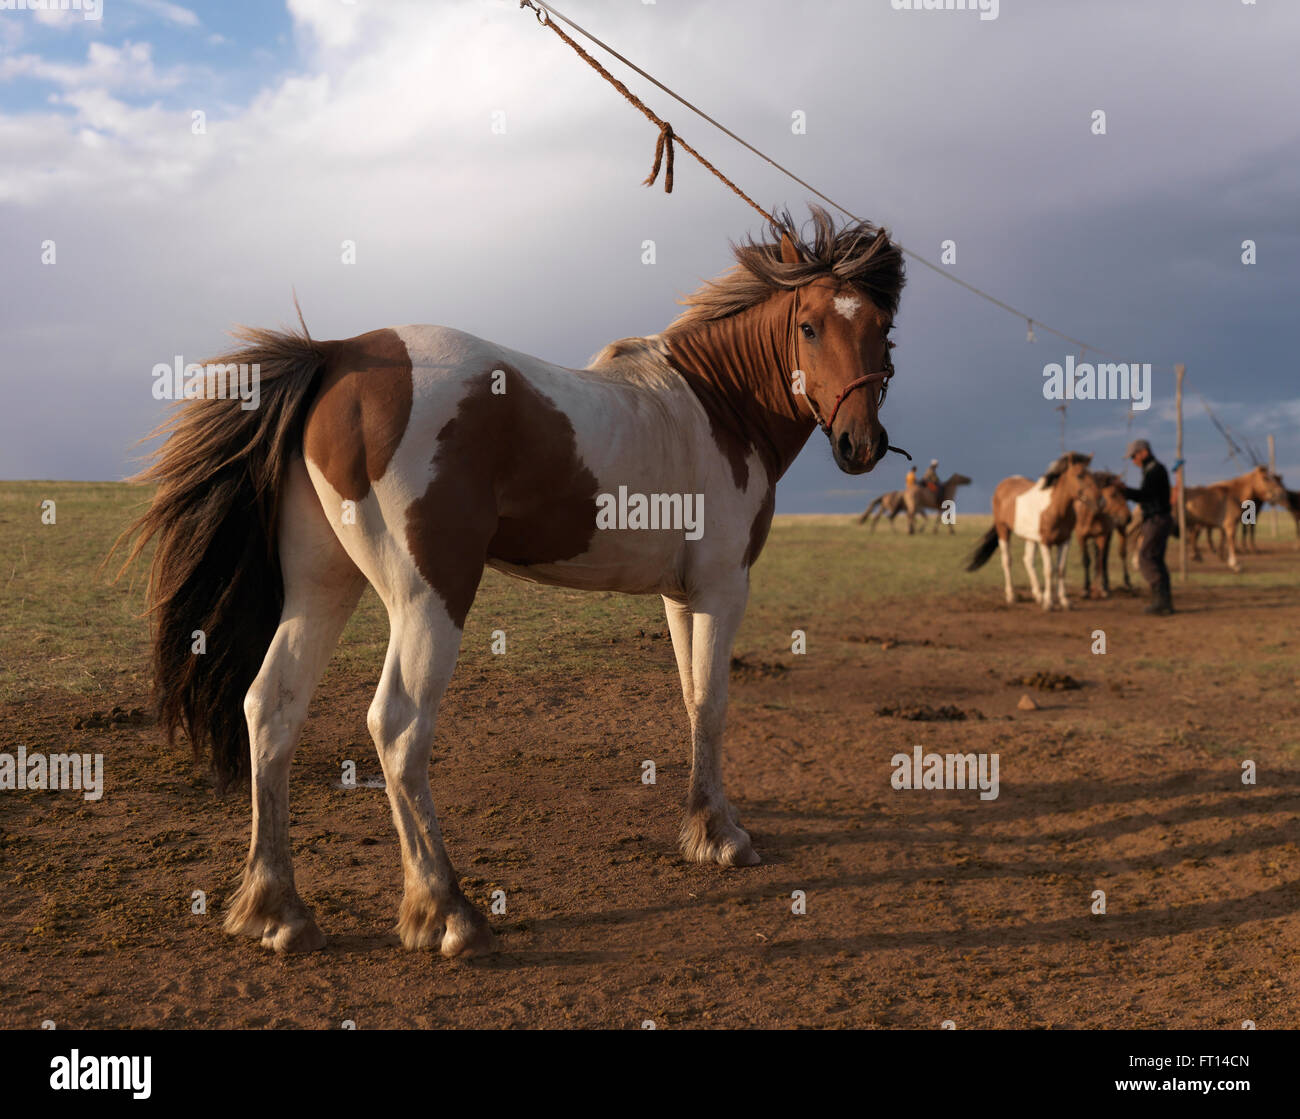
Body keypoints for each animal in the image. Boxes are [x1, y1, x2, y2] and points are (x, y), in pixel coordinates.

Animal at [116, 207, 909, 951]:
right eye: (809, 326)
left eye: (883, 329)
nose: (861, 445)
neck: (711, 408)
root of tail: (339, 356)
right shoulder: (722, 587)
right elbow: (713, 703)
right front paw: (722, 836)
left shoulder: (681, 596)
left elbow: (692, 701)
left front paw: (700, 824)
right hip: (429, 597)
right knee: (398, 727)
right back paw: (446, 909)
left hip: (323, 587)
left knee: (271, 708)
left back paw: (277, 907)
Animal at [967, 452, 1097, 610]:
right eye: (1079, 475)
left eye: (1092, 475)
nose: (1100, 500)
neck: (1055, 508)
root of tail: (1004, 484)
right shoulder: (1045, 542)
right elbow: (1049, 570)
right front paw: (1049, 603)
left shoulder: (1065, 541)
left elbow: (1061, 569)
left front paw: (1065, 601)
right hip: (1003, 529)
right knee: (1007, 560)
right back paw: (1012, 596)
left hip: (1030, 538)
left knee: (1028, 560)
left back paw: (1038, 595)